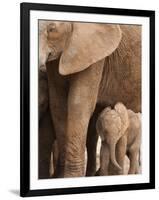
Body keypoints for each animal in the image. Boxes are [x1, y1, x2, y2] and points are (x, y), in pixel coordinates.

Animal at [39, 21, 141, 177]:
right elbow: (58, 105)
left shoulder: (94, 52)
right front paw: (61, 177)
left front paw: (71, 178)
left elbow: (78, 104)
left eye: (52, 28)